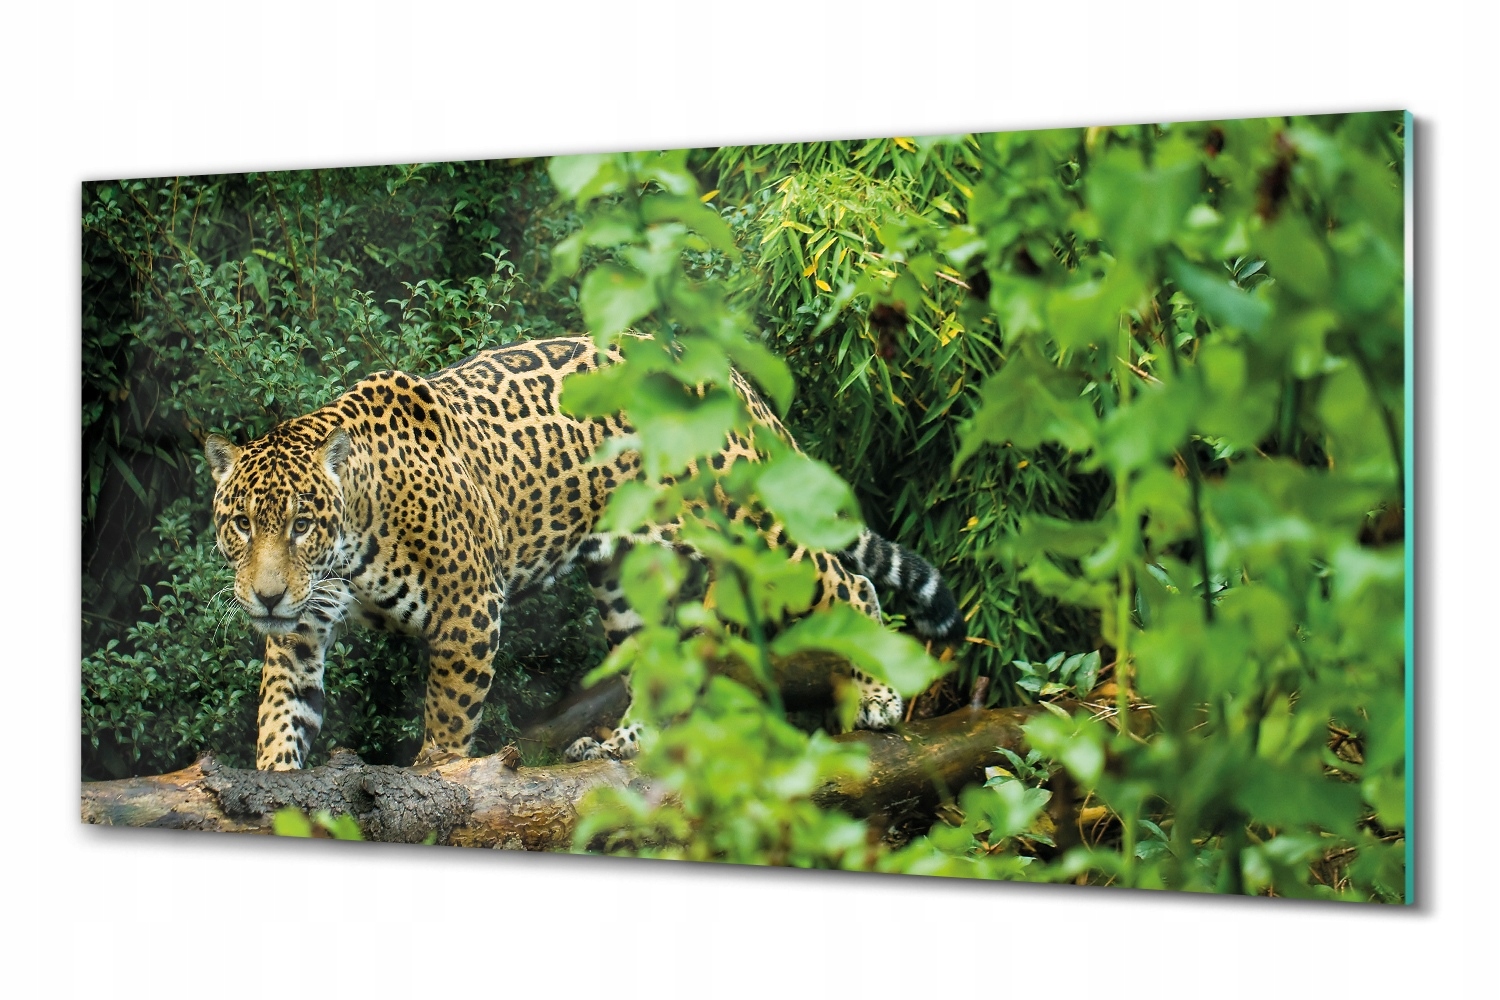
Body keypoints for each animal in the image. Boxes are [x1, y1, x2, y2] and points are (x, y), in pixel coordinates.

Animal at [203, 335, 965, 771]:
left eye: (302, 524)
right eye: (241, 524)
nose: (265, 596)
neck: (352, 541)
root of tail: (727, 378)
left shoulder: (467, 611)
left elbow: (448, 720)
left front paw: (436, 780)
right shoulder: (300, 631)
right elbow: (282, 714)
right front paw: (274, 783)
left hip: (749, 522)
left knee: (847, 579)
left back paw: (878, 692)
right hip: (625, 573)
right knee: (656, 659)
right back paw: (622, 742)